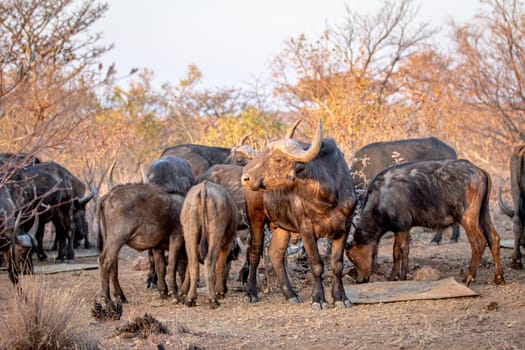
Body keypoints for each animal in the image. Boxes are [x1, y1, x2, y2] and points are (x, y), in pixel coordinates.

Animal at [241, 119, 356, 308]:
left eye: (278, 159)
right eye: (264, 154)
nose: (246, 178)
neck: (327, 197)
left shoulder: (344, 227)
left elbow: (337, 264)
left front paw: (341, 298)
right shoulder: (306, 229)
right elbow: (316, 264)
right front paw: (318, 299)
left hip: (281, 225)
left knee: (276, 253)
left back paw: (290, 294)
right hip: (255, 218)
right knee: (255, 252)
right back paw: (250, 294)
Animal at [346, 159, 506, 288]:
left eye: (352, 257)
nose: (359, 279)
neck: (381, 198)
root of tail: (480, 171)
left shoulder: (402, 227)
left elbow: (400, 251)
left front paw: (399, 276)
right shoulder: (400, 229)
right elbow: (399, 251)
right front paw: (395, 276)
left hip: (467, 217)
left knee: (479, 242)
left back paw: (469, 277)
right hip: (484, 214)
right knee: (494, 238)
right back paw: (499, 278)